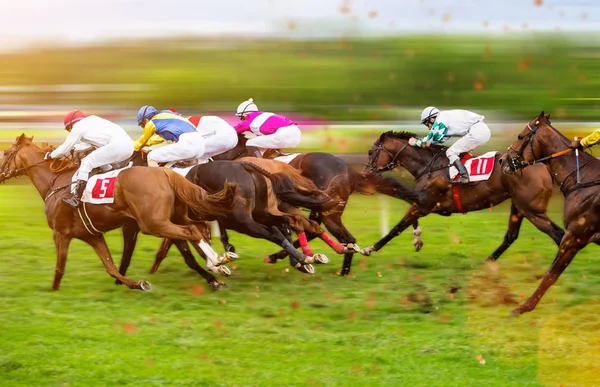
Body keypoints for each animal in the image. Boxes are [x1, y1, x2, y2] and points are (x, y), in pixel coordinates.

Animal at [0, 136, 238, 292]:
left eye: (5, 153)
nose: (1, 174)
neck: (56, 183)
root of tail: (164, 171)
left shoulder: (61, 233)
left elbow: (60, 268)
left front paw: (53, 292)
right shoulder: (93, 235)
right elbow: (111, 267)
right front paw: (137, 283)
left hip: (154, 223)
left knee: (192, 231)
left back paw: (217, 262)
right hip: (171, 218)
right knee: (198, 228)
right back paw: (220, 263)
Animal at [213, 133, 424, 276]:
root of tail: (349, 171)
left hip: (328, 212)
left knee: (346, 237)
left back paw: (342, 269)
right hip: (324, 209)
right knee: (328, 233)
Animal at [364, 129, 564, 262]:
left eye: (371, 152)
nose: (366, 173)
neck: (430, 167)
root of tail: (542, 164)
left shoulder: (425, 204)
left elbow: (396, 228)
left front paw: (369, 248)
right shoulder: (422, 202)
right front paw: (417, 240)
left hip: (531, 209)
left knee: (559, 233)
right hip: (519, 206)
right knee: (511, 236)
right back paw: (488, 262)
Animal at [500, 110, 600, 316]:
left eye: (520, 136)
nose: (502, 160)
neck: (583, 179)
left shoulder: (574, 237)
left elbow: (551, 275)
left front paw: (523, 308)